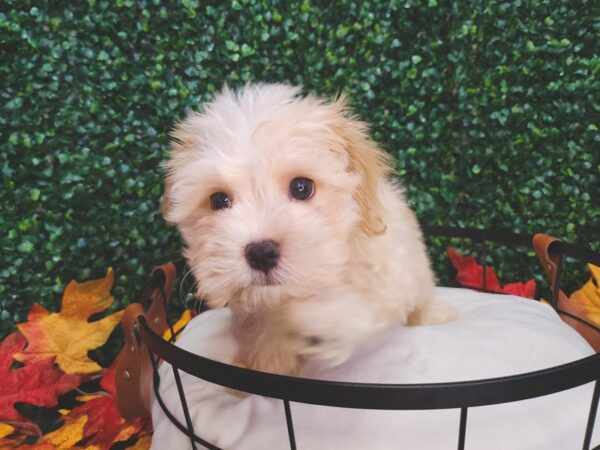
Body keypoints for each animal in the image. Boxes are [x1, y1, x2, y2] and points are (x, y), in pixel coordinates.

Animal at [162, 84, 452, 376]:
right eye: (219, 200)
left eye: (302, 187)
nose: (261, 253)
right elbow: (265, 344)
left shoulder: (387, 274)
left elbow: (364, 305)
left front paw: (319, 322)